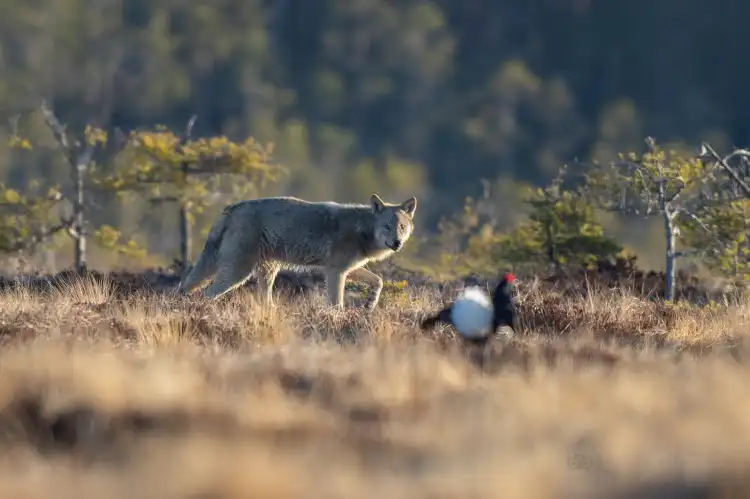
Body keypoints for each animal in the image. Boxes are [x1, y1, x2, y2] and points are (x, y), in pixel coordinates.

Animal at [180, 194, 420, 308]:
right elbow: (337, 303)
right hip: (238, 273)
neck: (363, 230)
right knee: (207, 293)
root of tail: (231, 208)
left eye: (401, 226)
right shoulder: (336, 272)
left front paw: (370, 304)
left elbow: (378, 281)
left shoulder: (344, 269)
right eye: (386, 226)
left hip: (266, 272)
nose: (397, 243)